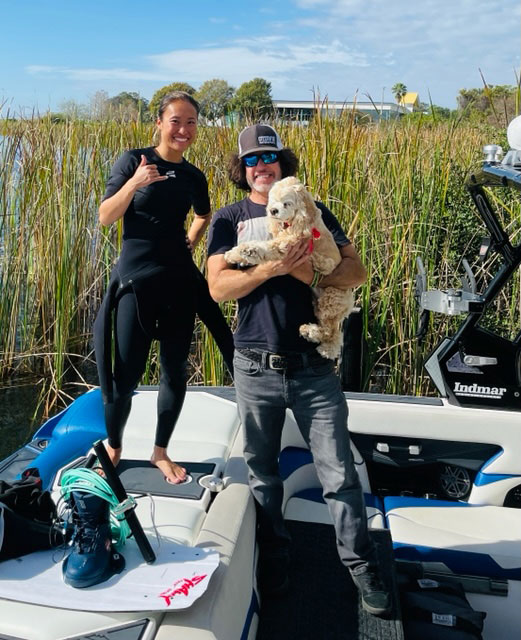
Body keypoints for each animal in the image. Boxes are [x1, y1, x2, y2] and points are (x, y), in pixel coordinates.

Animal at [223, 175, 354, 360]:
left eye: (287, 203)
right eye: (273, 201)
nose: (273, 211)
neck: (298, 220)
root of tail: (350, 302)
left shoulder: (288, 243)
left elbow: (266, 248)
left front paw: (247, 250)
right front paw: (234, 255)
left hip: (331, 299)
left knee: (331, 331)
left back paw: (314, 336)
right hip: (320, 303)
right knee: (333, 332)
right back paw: (317, 340)